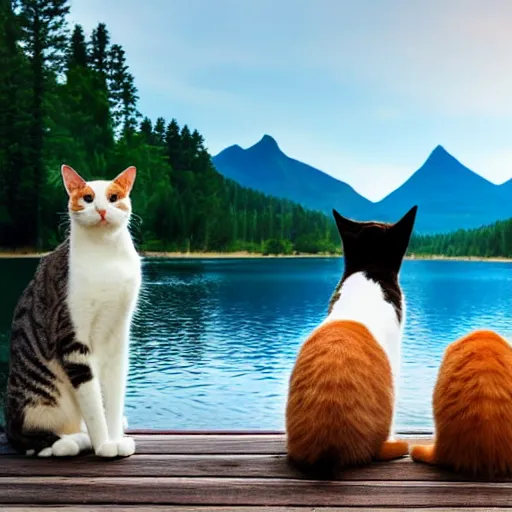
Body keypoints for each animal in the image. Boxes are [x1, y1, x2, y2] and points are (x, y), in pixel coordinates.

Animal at [4, 166, 140, 458]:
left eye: (113, 198)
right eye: (88, 198)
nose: (101, 209)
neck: (105, 255)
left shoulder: (118, 335)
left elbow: (113, 398)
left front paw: (116, 438)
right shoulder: (71, 337)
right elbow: (93, 404)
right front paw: (104, 445)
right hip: (34, 402)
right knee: (26, 438)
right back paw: (68, 442)